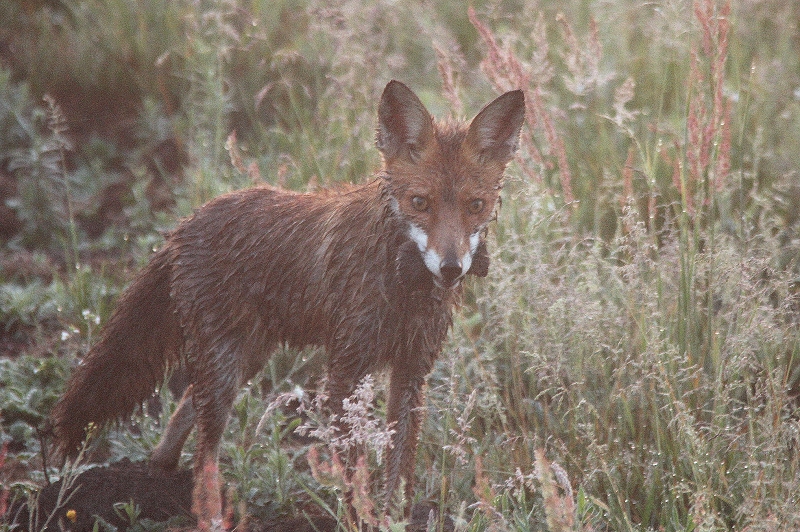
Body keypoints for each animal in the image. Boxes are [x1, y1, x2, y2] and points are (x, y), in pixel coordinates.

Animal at [51, 81, 524, 528]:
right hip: (226, 368)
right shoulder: (346, 368)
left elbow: (398, 468)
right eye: (419, 203)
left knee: (184, 409)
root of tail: (182, 225)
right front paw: (358, 518)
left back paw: (159, 474)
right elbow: (353, 467)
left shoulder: (412, 370)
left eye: (475, 206)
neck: (403, 293)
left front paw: (393, 518)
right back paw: (208, 514)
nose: (451, 268)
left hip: (247, 360)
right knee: (205, 451)